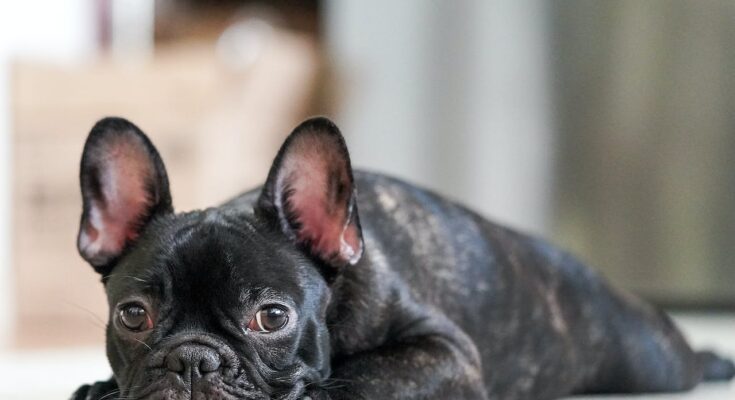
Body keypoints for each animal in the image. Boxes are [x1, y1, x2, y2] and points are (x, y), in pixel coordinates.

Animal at [70, 116, 735, 400]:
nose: (193, 361)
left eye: (272, 318)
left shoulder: (443, 353)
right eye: (133, 316)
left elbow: (363, 376)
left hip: (651, 360)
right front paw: (99, 388)